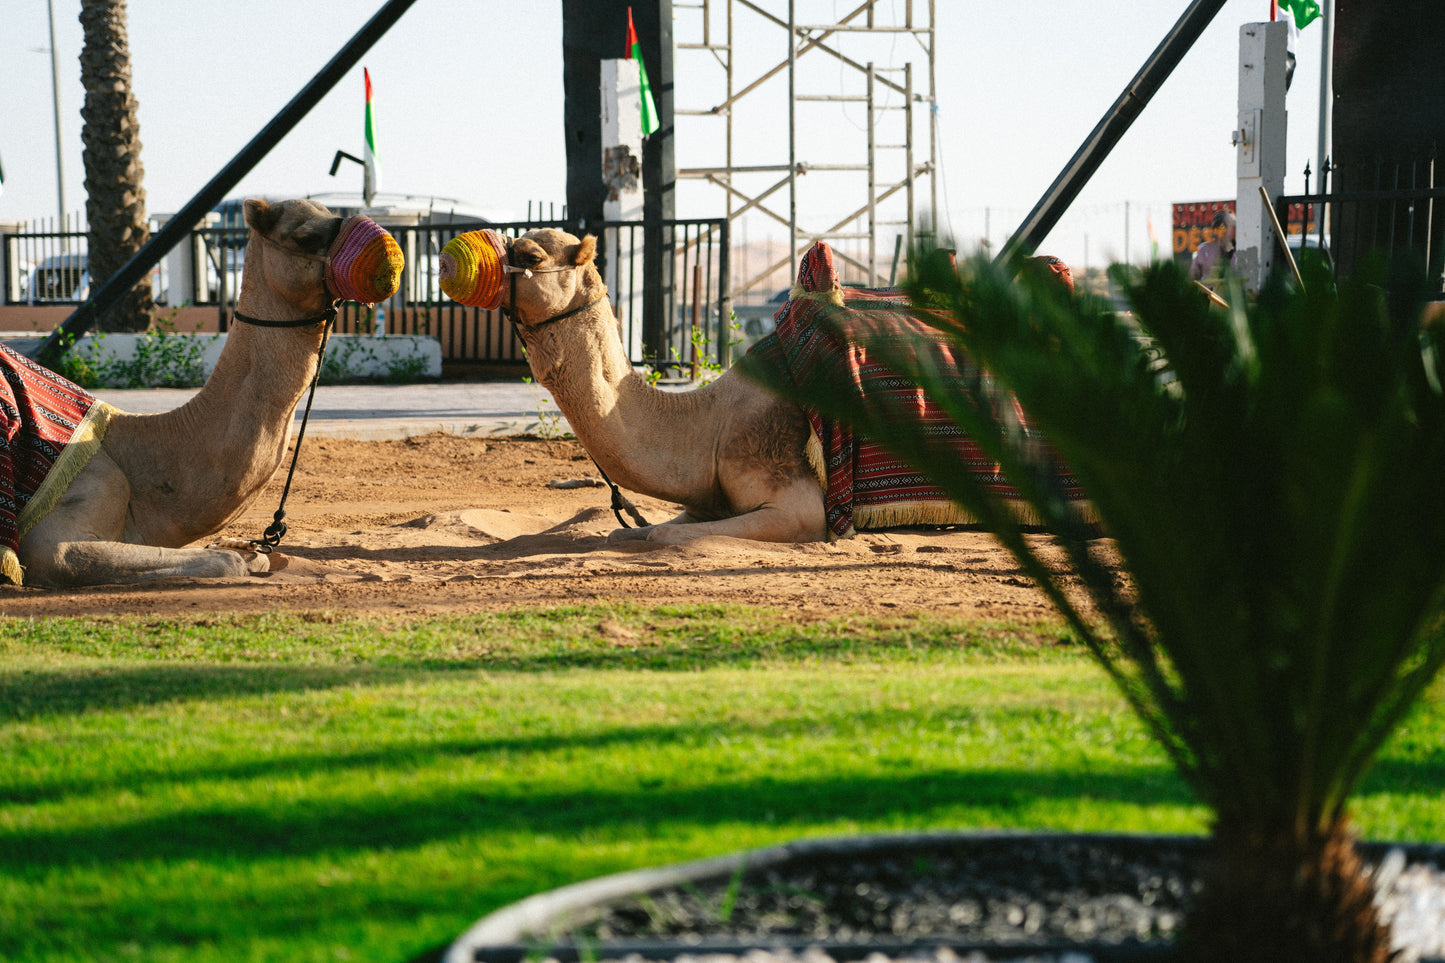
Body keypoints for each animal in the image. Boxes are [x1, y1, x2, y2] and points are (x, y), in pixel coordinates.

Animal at [14, 196, 404, 584]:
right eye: (306, 237)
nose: (387, 250)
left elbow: (249, 556)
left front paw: (249, 552)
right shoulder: (56, 537)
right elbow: (226, 562)